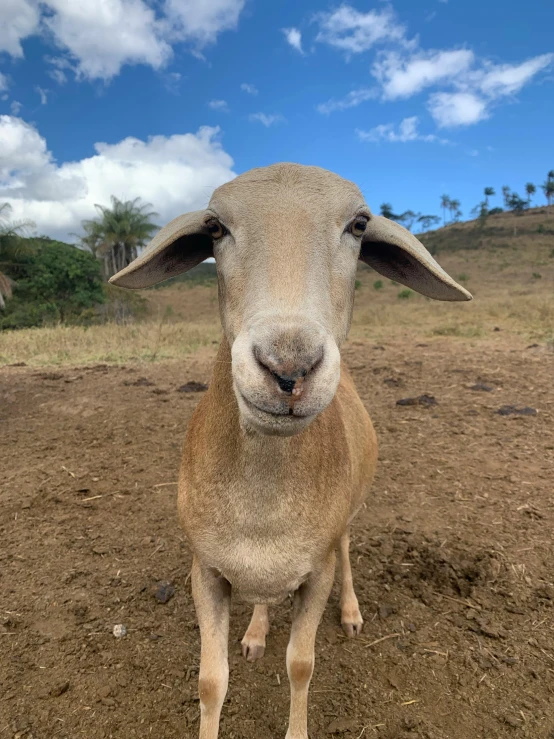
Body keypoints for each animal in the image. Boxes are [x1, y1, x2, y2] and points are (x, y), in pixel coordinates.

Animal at [111, 163, 470, 739]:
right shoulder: (205, 570)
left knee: (346, 551)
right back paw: (256, 631)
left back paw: (351, 613)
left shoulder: (315, 572)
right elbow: (210, 680)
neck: (262, 502)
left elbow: (301, 664)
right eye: (214, 228)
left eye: (360, 225)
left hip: (346, 520)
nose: (288, 369)